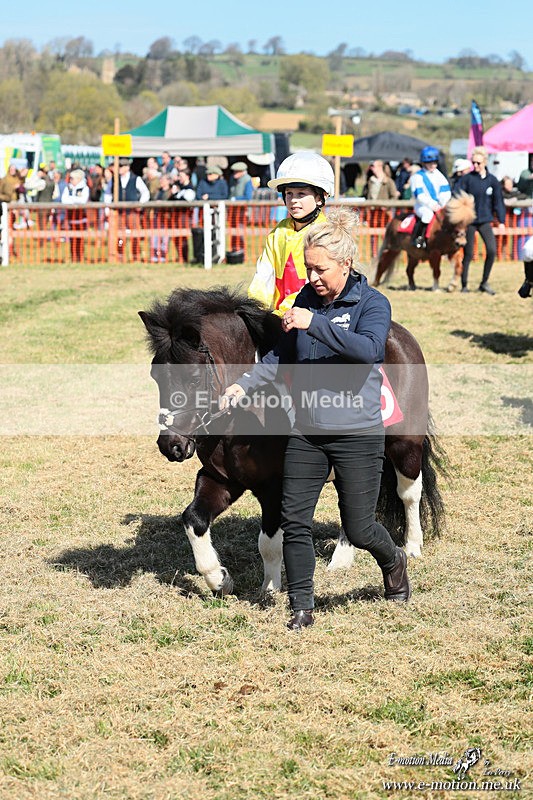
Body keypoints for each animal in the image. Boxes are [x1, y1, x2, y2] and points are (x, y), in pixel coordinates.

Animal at [139, 287, 445, 596]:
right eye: (154, 375)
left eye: (192, 378)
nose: (171, 445)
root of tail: (399, 335)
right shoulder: (221, 479)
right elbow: (194, 520)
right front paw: (219, 579)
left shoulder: (275, 486)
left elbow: (269, 542)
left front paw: (269, 588)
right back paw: (342, 558)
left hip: (405, 444)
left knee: (409, 493)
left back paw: (412, 545)